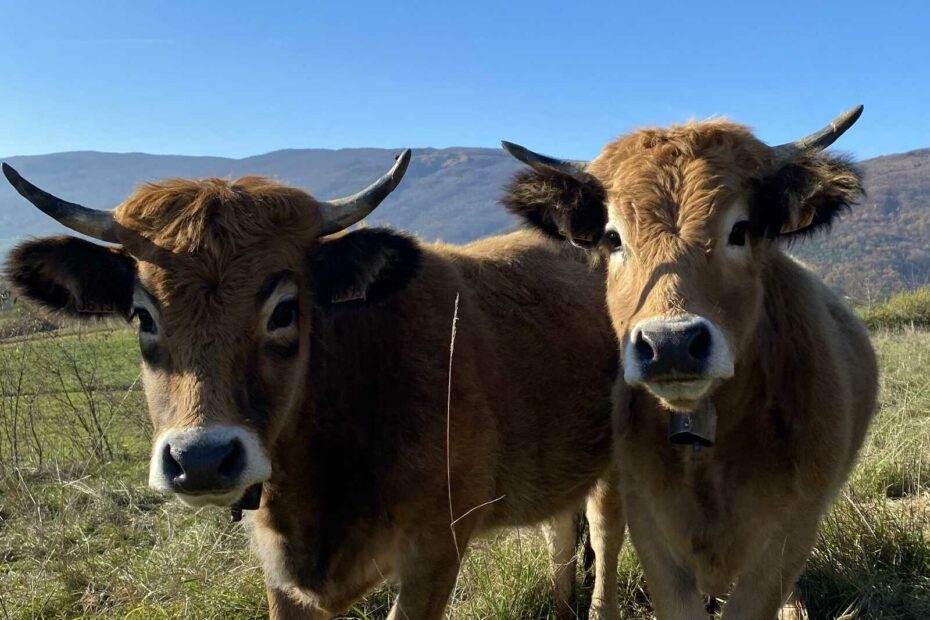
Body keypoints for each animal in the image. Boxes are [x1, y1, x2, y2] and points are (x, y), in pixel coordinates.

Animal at [1, 151, 624, 620]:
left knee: (604, 535)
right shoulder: (281, 577)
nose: (201, 459)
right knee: (560, 534)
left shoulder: (435, 551)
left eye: (284, 310)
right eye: (142, 315)